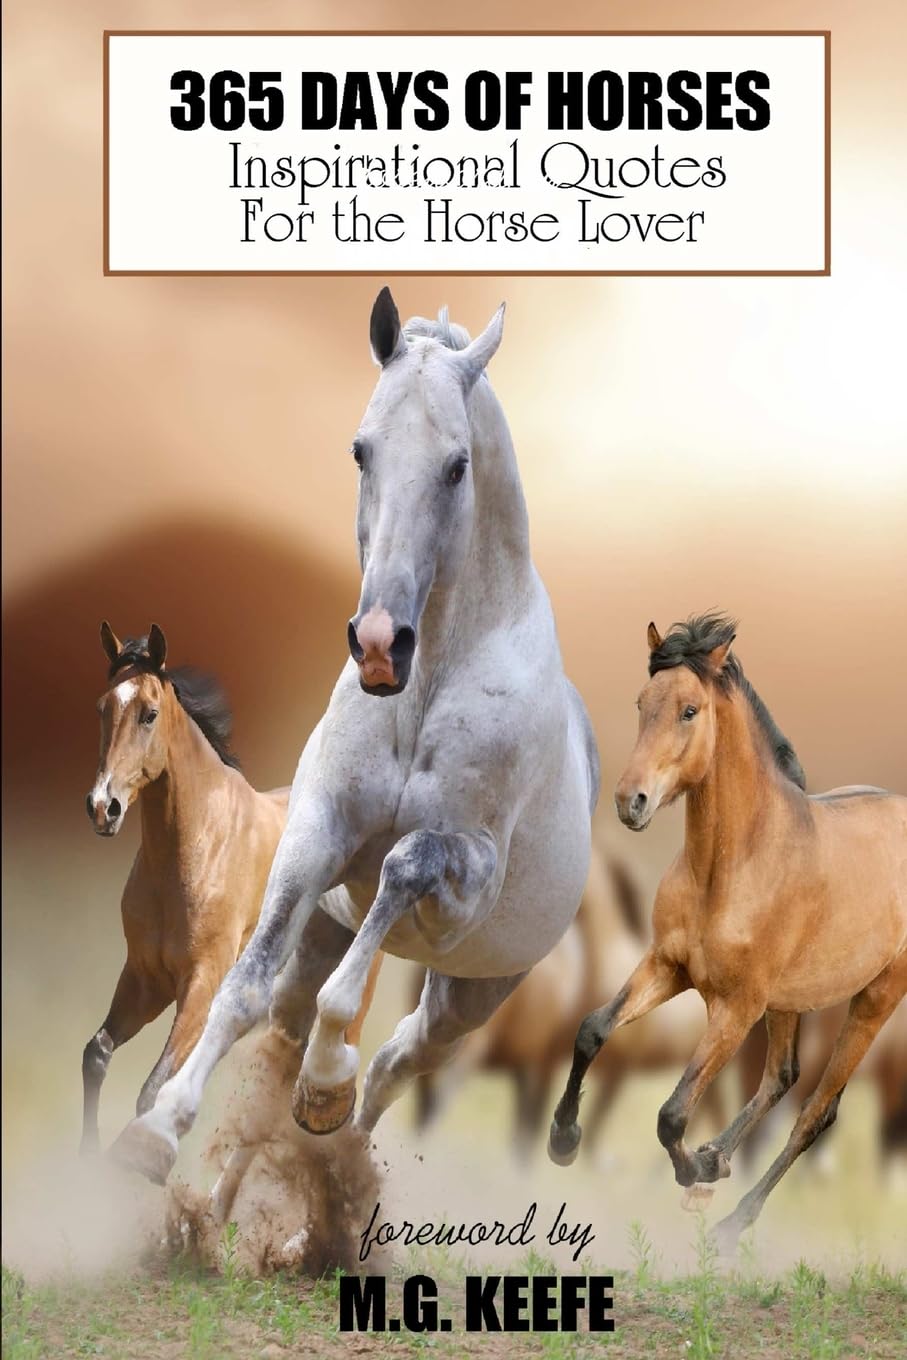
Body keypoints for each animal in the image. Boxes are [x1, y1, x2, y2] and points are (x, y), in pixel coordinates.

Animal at [82, 622, 380, 1156]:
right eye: (102, 708)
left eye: (149, 714)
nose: (103, 807)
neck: (197, 849)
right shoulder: (144, 979)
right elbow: (97, 1053)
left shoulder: (201, 984)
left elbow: (153, 1089)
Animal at [548, 613, 907, 1250]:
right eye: (642, 703)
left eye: (689, 710)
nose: (630, 801)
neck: (732, 866)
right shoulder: (667, 967)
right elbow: (592, 1030)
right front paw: (564, 1140)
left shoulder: (735, 1008)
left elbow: (671, 1112)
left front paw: (692, 1168)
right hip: (789, 1003)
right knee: (781, 1079)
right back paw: (717, 1161)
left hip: (873, 1001)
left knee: (816, 1111)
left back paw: (729, 1220)